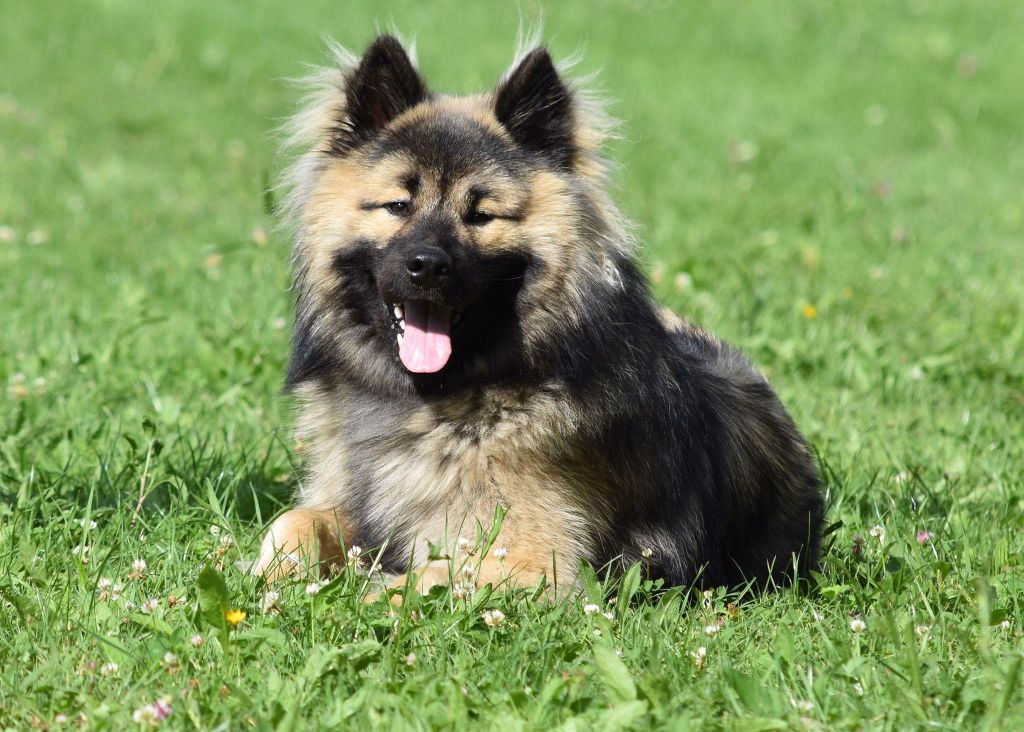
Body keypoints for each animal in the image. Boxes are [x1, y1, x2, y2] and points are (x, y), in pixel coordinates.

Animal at [253, 33, 823, 593]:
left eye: (481, 215)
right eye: (397, 206)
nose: (427, 266)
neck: (428, 399)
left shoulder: (531, 561)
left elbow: (417, 580)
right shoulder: (340, 498)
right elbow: (293, 523)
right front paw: (269, 583)